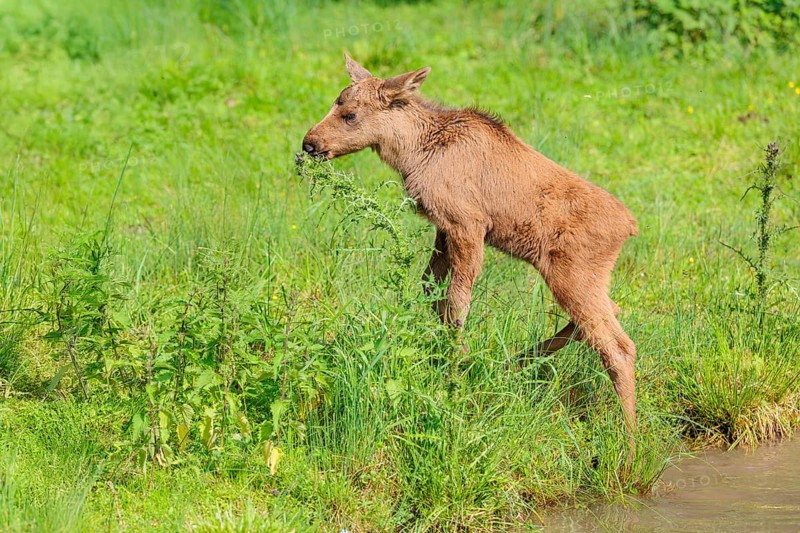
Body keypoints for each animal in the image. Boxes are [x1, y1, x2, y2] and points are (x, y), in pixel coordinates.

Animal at [302, 55, 640, 440]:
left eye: (350, 114)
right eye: (336, 101)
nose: (309, 143)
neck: (412, 153)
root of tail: (629, 227)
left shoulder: (468, 224)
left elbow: (457, 302)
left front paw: (457, 368)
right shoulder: (443, 228)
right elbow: (431, 289)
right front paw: (451, 357)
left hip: (572, 274)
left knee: (619, 346)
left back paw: (630, 441)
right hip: (586, 279)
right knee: (609, 313)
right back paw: (516, 362)